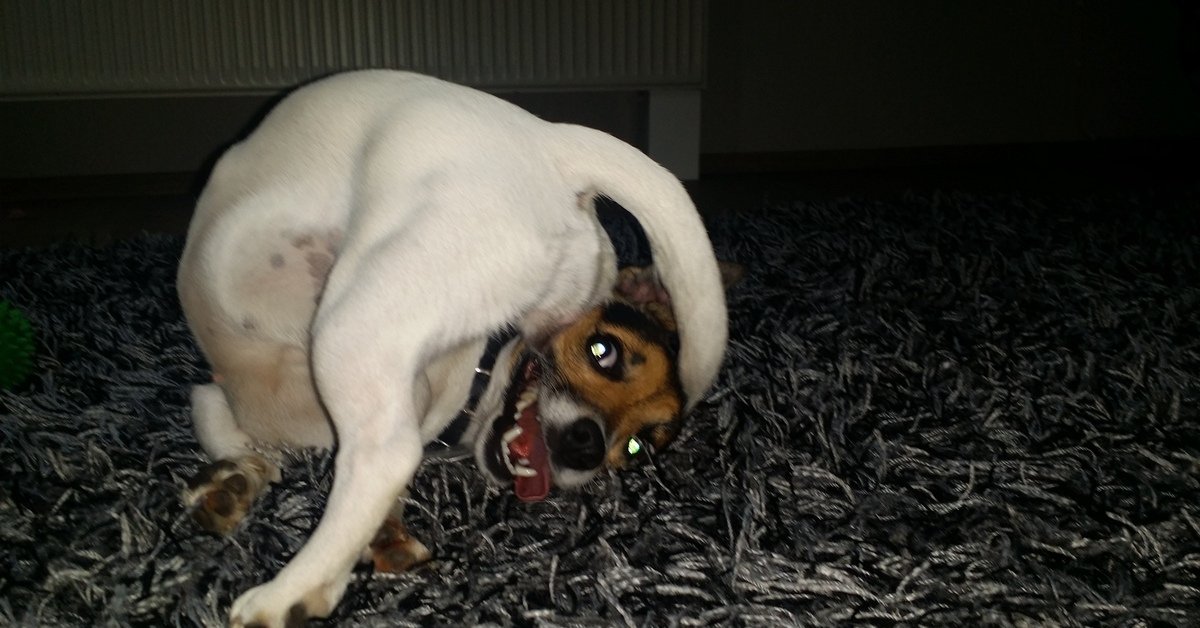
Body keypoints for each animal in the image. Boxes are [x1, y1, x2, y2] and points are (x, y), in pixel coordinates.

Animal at [176, 70, 728, 626]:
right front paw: (237, 478)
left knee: (386, 455)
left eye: (635, 446)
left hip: (353, 323)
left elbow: (210, 402)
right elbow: (215, 409)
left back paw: (287, 593)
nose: (586, 444)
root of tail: (553, 141)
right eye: (603, 351)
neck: (477, 368)